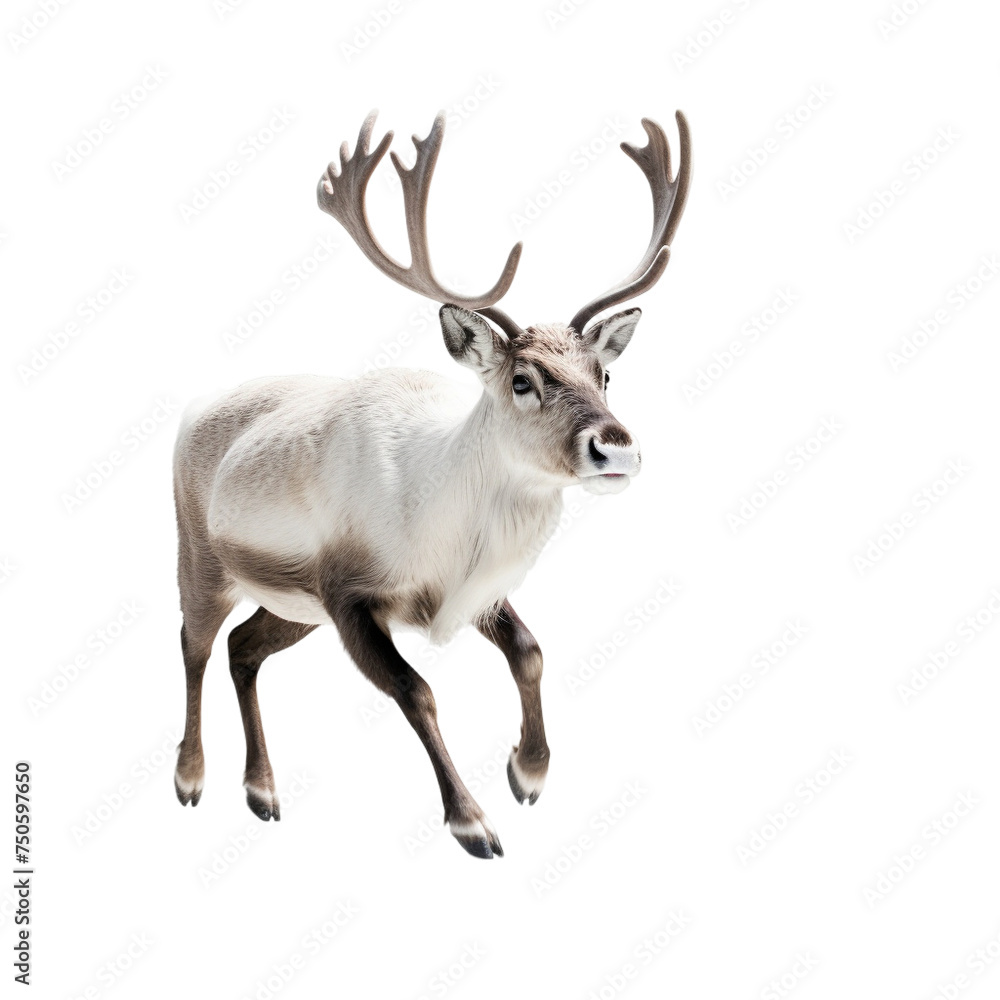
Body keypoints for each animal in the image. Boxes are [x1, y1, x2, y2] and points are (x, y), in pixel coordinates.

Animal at [172, 109, 691, 859]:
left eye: (605, 373)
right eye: (522, 379)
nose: (616, 446)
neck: (441, 527)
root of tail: (193, 410)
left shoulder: (471, 591)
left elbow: (531, 652)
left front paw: (528, 770)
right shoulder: (347, 592)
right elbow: (416, 690)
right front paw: (472, 821)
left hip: (294, 606)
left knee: (244, 649)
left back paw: (262, 789)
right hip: (202, 558)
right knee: (195, 643)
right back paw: (191, 777)